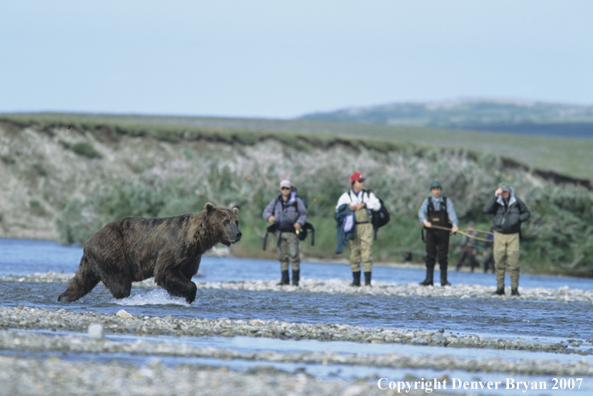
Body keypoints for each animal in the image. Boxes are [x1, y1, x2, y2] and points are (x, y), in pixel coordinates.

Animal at [56, 203, 239, 304]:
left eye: (236, 221)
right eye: (225, 221)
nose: (238, 233)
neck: (197, 240)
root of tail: (88, 241)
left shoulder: (191, 257)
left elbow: (183, 275)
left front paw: (180, 295)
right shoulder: (173, 248)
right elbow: (164, 271)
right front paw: (189, 295)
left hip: (92, 261)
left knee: (81, 281)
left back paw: (64, 297)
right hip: (112, 250)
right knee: (120, 283)